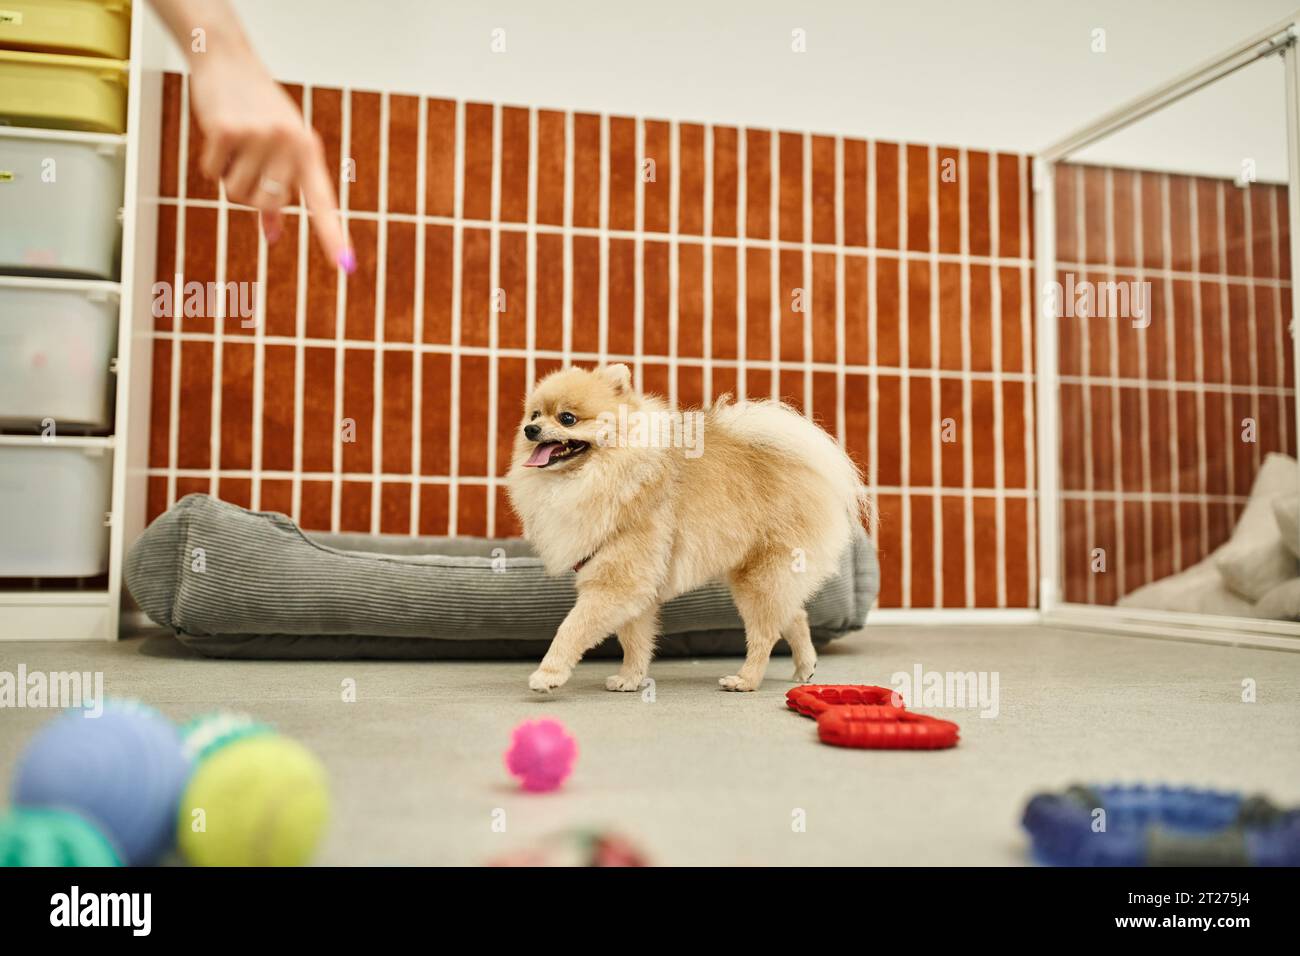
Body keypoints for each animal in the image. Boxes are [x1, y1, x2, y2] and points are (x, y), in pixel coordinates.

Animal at [504, 366, 863, 697]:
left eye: (567, 418)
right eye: (534, 414)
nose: (530, 429)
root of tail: (804, 465)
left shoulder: (617, 581)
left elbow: (572, 628)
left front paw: (548, 675)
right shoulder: (637, 585)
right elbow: (634, 640)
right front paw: (630, 679)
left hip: (759, 576)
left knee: (766, 633)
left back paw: (745, 680)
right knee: (794, 614)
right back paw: (805, 667)